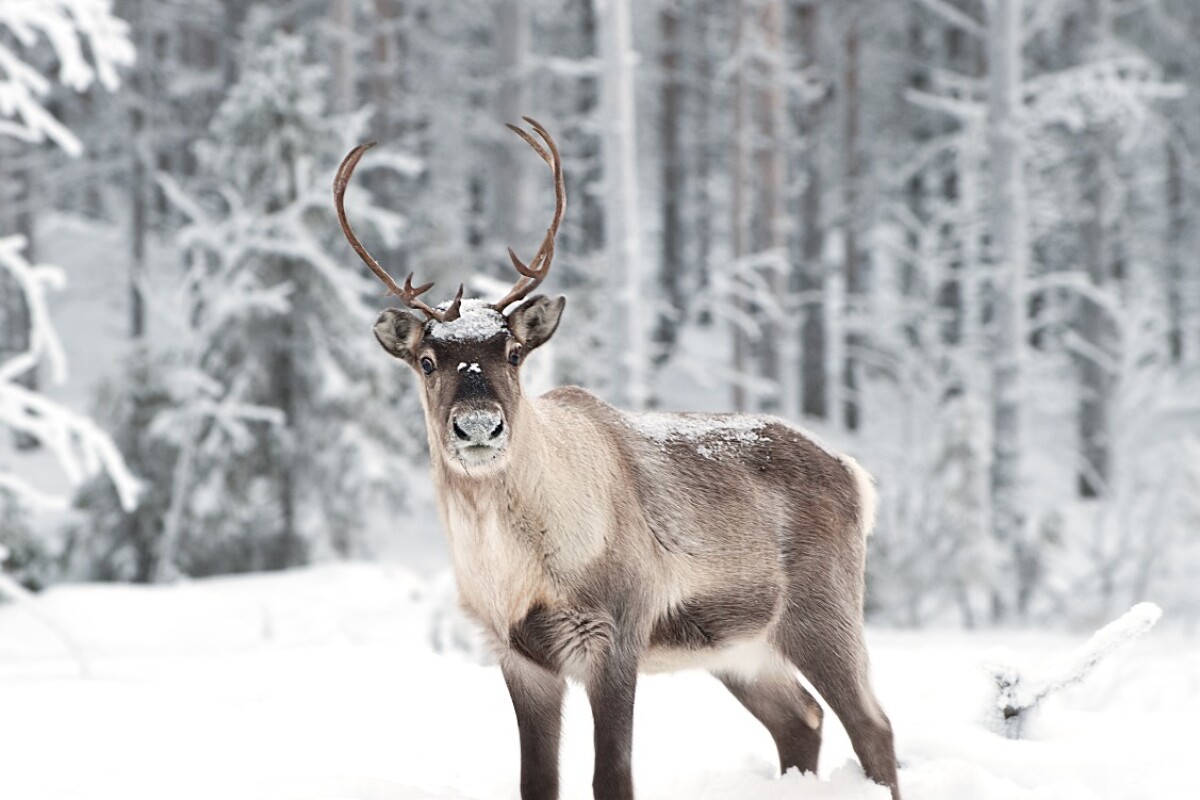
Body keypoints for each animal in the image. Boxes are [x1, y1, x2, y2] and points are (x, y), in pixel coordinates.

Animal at [334, 118, 900, 800]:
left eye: (514, 353)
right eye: (426, 361)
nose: (478, 426)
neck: (514, 568)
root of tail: (853, 473)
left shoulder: (615, 634)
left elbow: (613, 777)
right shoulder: (520, 657)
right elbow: (536, 782)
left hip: (824, 611)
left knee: (873, 727)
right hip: (740, 649)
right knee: (801, 718)